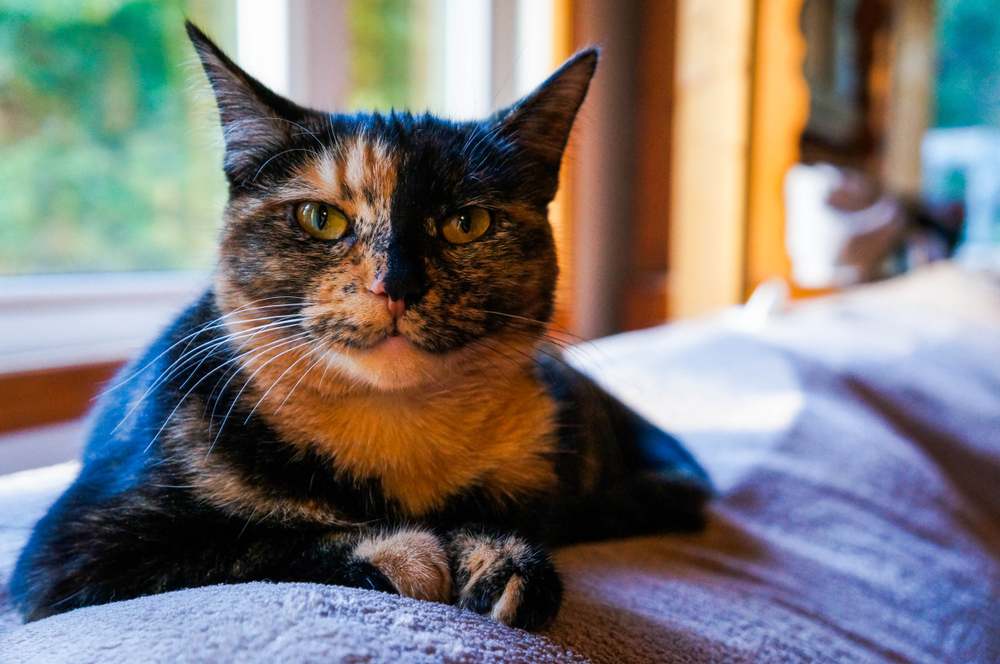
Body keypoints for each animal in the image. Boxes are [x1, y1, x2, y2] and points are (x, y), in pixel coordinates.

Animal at [9, 23, 712, 632]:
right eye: (321, 218)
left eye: (467, 223)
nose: (395, 283)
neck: (393, 428)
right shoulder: (70, 555)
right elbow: (252, 543)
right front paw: (411, 553)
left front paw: (501, 562)